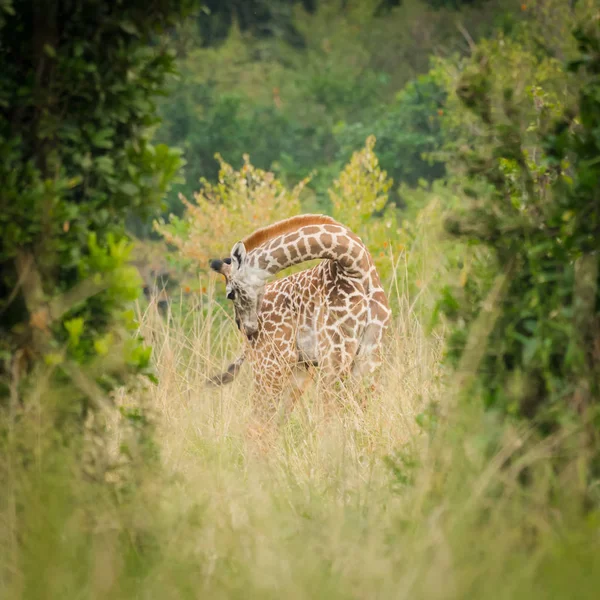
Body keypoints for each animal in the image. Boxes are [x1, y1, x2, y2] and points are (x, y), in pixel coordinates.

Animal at [209, 213, 392, 420]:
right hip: (271, 365)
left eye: (230, 294)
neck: (355, 266)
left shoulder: (370, 353)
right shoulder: (335, 352)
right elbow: (334, 413)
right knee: (259, 418)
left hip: (297, 370)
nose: (245, 327)